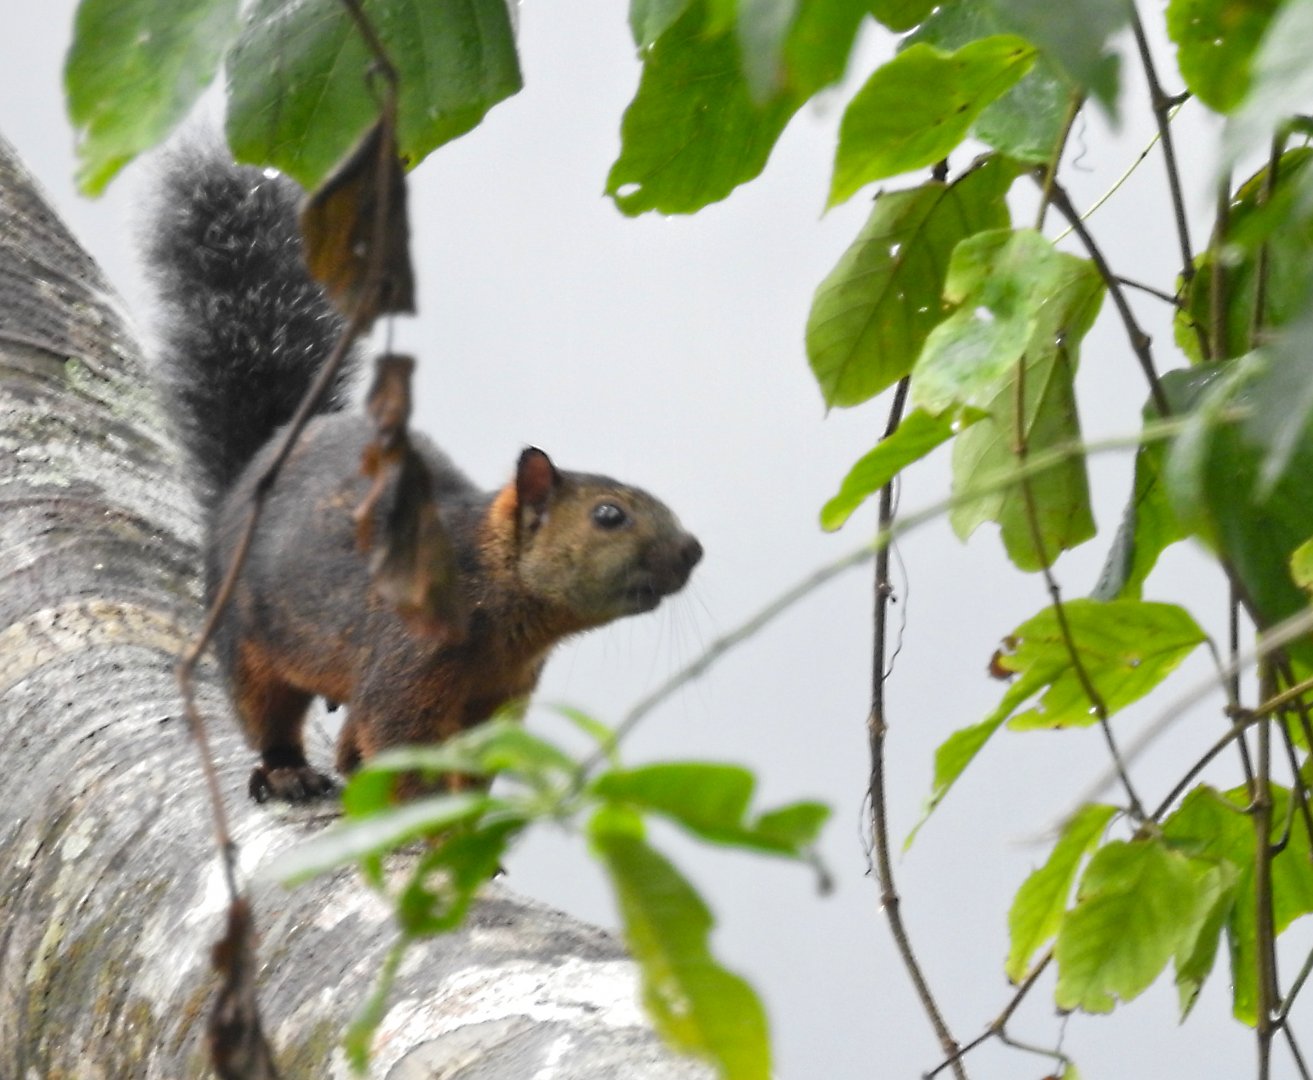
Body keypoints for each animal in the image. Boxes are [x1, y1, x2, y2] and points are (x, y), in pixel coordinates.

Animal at [145, 148, 702, 803]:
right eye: (609, 515)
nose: (693, 551)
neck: (496, 588)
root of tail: (259, 464)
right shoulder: (410, 664)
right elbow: (403, 748)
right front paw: (428, 819)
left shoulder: (499, 697)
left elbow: (471, 761)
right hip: (245, 640)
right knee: (269, 713)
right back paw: (287, 770)